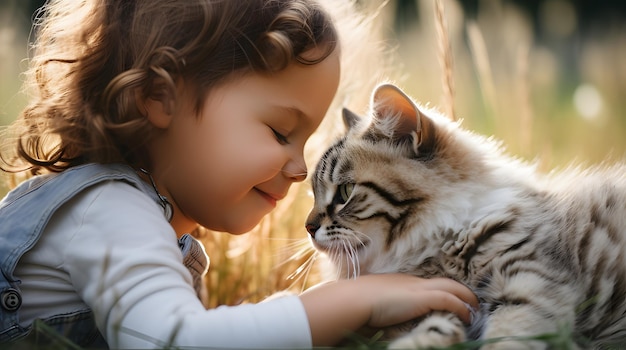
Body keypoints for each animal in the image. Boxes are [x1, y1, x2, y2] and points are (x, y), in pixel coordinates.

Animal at [306, 83, 624, 348]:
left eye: (345, 192)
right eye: (313, 194)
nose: (308, 227)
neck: (445, 241)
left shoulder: (530, 288)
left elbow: (504, 341)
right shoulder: (441, 306)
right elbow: (433, 332)